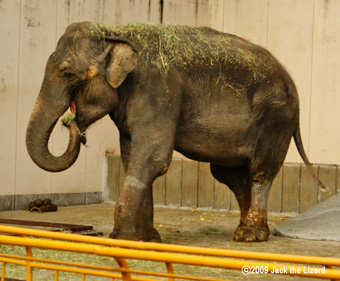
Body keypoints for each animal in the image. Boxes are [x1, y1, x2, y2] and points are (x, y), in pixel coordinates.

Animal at [24, 21, 326, 242]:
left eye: (67, 74)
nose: (72, 122)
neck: (116, 32)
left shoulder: (158, 91)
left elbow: (152, 158)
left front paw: (122, 239)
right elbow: (132, 158)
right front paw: (147, 239)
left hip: (276, 120)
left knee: (260, 171)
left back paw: (250, 236)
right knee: (231, 175)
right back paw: (244, 230)